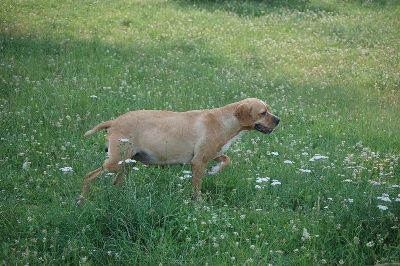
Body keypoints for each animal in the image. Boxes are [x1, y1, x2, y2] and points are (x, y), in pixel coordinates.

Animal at [76, 97, 280, 204]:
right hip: (116, 163)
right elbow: (197, 188)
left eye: (269, 110)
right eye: (263, 113)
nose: (278, 120)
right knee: (88, 176)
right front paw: (199, 203)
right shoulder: (198, 162)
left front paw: (215, 170)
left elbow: (226, 160)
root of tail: (114, 122)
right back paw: (82, 200)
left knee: (116, 183)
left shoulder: (212, 154)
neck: (225, 120)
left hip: (128, 163)